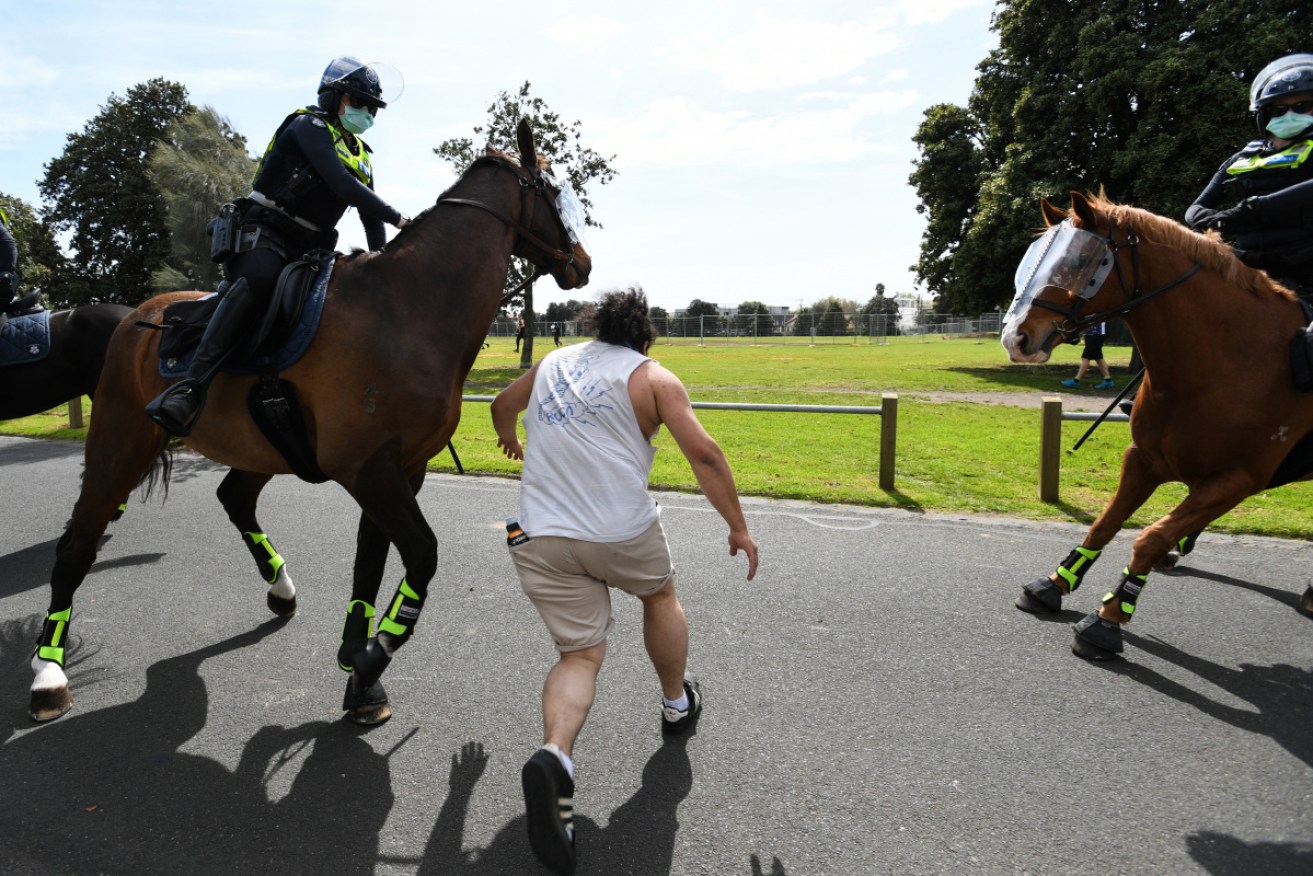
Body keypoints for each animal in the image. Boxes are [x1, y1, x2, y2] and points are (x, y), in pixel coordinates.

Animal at [28, 123, 593, 724]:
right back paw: (48, 672)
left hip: (256, 447)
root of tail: (137, 316)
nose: (583, 263)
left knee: (234, 498)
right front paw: (372, 655)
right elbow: (421, 556)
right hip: (119, 445)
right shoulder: (369, 470)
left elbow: (370, 562)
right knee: (76, 547)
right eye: (557, 194)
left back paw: (280, 588)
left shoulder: (401, 469)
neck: (409, 310)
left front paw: (359, 669)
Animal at [1003, 190, 1313, 656]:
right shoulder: (1145, 458)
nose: (1015, 337)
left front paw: (1109, 617)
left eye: (1077, 263)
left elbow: (1151, 536)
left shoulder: (1238, 479)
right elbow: (1105, 523)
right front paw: (1056, 582)